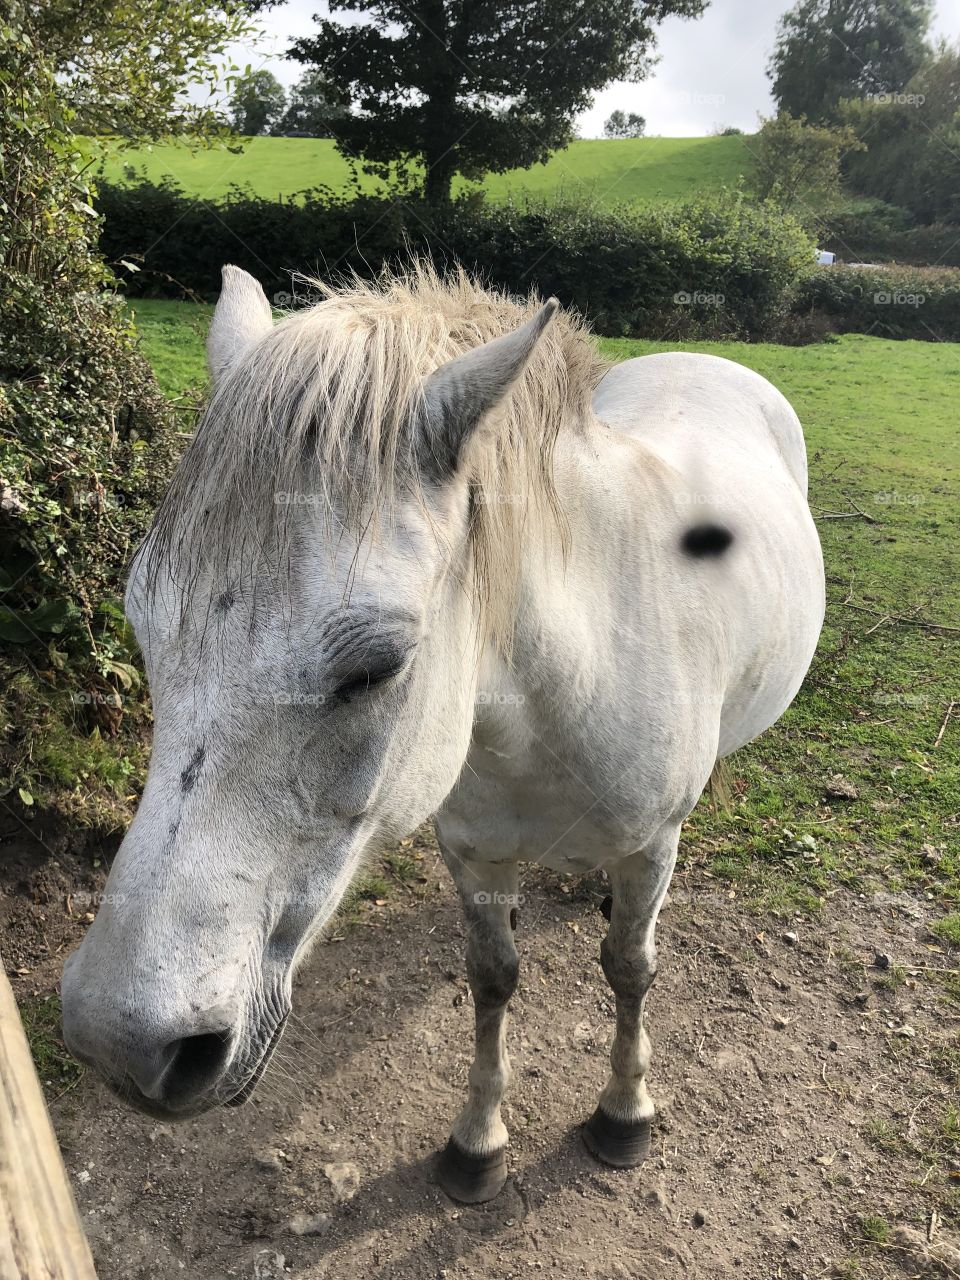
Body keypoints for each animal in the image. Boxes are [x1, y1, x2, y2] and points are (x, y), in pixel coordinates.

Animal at [62, 264, 825, 1204]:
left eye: (376, 668)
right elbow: (493, 979)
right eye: (141, 626)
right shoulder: (473, 855)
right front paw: (478, 1141)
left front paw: (624, 1113)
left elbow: (630, 970)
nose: (121, 1045)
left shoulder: (651, 849)